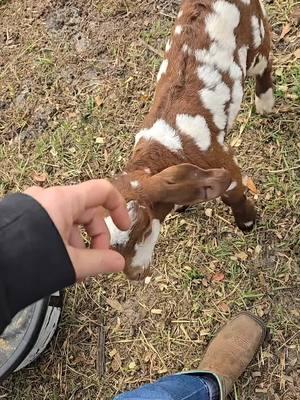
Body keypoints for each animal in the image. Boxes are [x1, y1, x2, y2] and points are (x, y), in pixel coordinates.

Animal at [105, 0, 274, 282]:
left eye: (143, 230)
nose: (136, 275)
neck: (167, 148)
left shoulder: (223, 161)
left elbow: (234, 195)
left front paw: (247, 222)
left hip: (257, 34)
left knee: (265, 63)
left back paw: (265, 103)